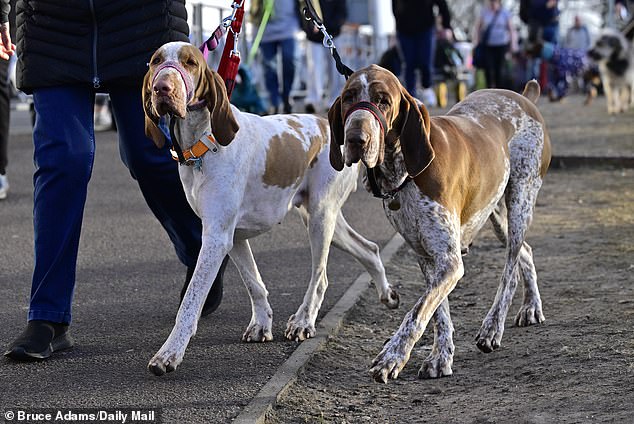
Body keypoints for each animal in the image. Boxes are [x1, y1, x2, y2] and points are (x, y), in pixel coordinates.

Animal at [141, 42, 398, 374]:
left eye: (190, 63)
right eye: (156, 61)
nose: (162, 87)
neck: (203, 142)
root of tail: (334, 125)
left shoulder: (215, 239)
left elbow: (190, 302)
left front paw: (169, 353)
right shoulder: (233, 236)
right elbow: (254, 283)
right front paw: (262, 324)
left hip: (320, 219)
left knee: (320, 277)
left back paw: (304, 320)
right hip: (325, 219)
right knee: (369, 249)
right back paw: (385, 293)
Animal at [328, 63, 552, 384]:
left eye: (383, 101)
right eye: (348, 98)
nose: (357, 139)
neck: (403, 173)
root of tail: (524, 97)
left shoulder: (449, 261)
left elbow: (417, 312)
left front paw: (392, 357)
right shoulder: (428, 257)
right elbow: (437, 312)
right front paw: (440, 357)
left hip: (521, 199)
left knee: (509, 270)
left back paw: (493, 327)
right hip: (496, 216)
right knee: (525, 251)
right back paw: (531, 306)